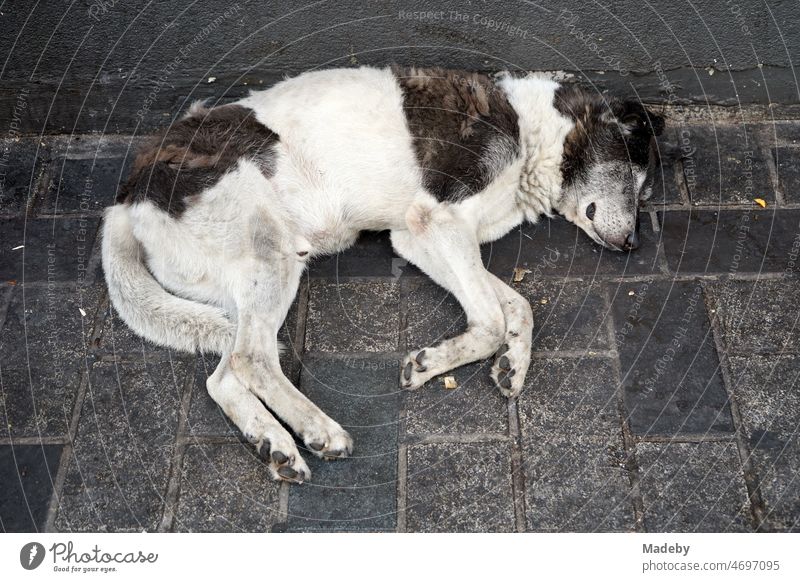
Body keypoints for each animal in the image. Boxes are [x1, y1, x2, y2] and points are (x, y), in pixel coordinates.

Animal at [101, 65, 664, 484]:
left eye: (645, 192)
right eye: (634, 180)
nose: (634, 245)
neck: (533, 134)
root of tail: (126, 198)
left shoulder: (418, 238)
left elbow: (515, 307)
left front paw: (512, 364)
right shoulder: (436, 221)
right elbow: (488, 321)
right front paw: (434, 363)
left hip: (239, 289)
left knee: (223, 375)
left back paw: (273, 444)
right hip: (271, 251)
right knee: (252, 358)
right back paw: (317, 429)